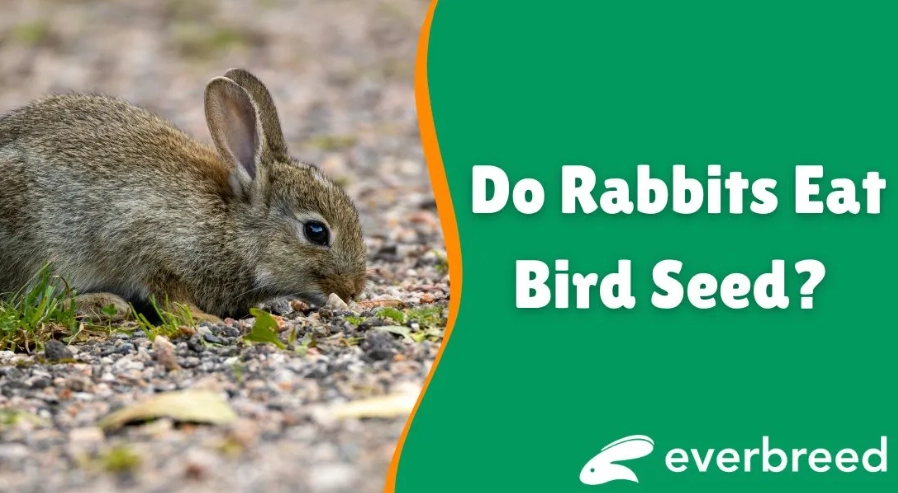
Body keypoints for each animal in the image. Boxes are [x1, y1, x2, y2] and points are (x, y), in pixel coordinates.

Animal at [0, 68, 368, 323]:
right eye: (316, 231)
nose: (353, 291)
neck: (232, 229)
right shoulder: (152, 247)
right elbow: (170, 299)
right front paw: (206, 319)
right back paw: (104, 304)